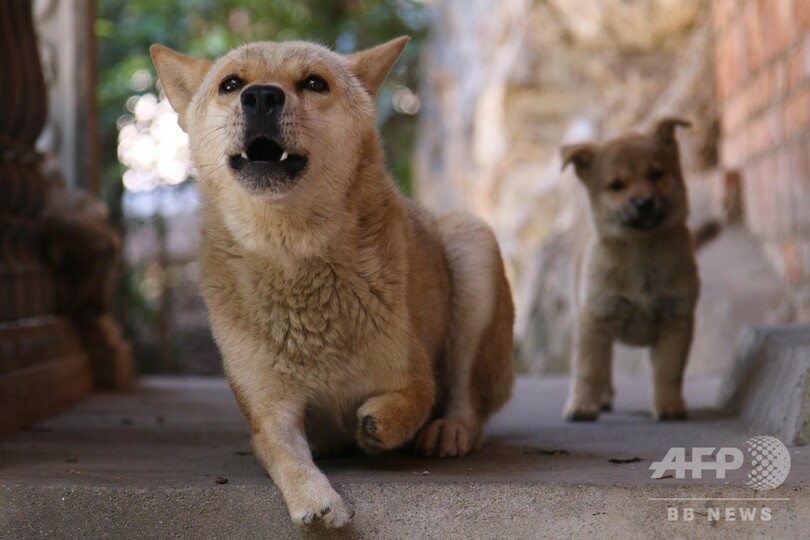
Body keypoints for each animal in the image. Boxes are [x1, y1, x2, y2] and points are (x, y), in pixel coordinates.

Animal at [150, 38, 512, 528]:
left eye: (314, 83)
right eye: (231, 84)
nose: (260, 96)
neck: (293, 260)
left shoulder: (412, 370)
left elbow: (418, 395)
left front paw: (381, 423)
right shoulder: (270, 411)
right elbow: (285, 456)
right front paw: (316, 499)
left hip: (472, 244)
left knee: (467, 394)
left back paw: (451, 429)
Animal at [560, 117, 696, 422]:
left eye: (656, 174)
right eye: (617, 185)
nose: (644, 203)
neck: (642, 251)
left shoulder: (676, 320)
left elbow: (668, 371)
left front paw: (669, 405)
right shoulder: (594, 319)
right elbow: (589, 370)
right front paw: (583, 405)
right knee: (603, 368)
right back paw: (601, 398)